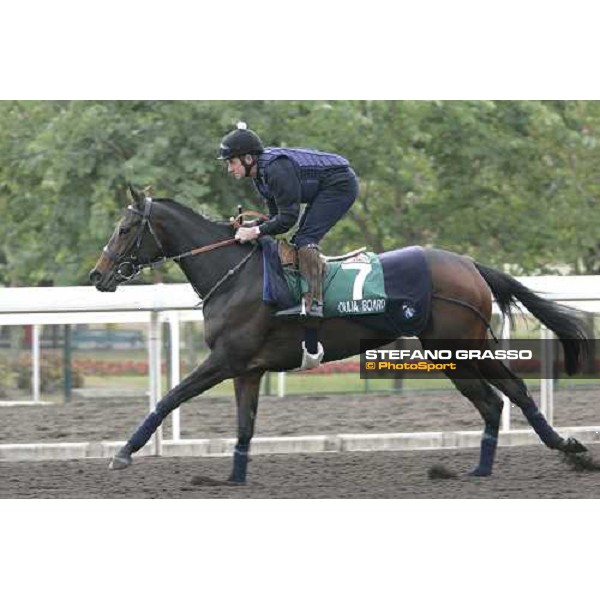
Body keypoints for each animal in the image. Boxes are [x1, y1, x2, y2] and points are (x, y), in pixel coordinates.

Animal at [90, 188, 592, 482]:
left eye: (126, 228)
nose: (97, 275)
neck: (235, 274)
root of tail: (469, 263)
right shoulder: (248, 369)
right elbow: (244, 425)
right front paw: (232, 478)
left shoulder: (225, 359)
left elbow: (169, 397)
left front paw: (124, 452)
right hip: (450, 352)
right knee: (491, 402)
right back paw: (479, 470)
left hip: (461, 345)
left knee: (513, 391)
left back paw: (572, 452)